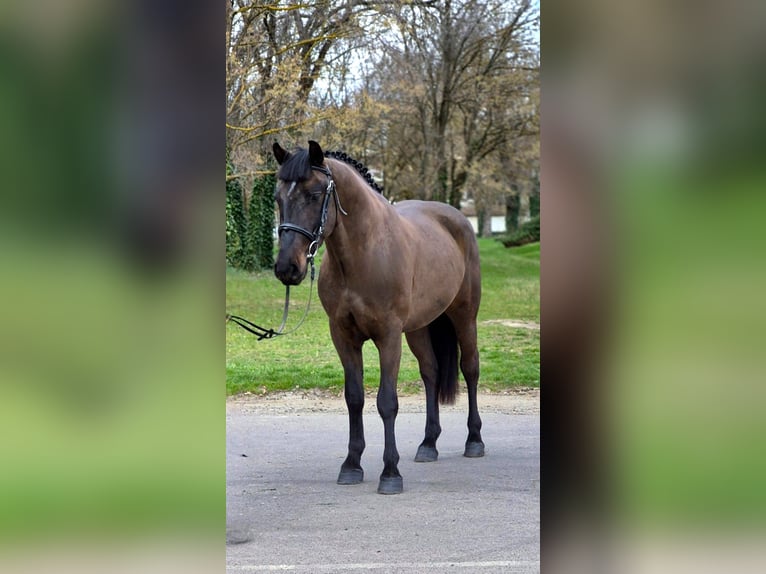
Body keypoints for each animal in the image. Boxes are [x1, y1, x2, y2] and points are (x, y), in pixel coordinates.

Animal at [272, 140, 484, 494]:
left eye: (314, 194)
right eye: (277, 198)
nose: (287, 267)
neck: (363, 254)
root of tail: (458, 219)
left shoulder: (388, 336)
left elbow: (387, 402)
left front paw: (390, 473)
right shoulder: (343, 336)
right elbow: (354, 398)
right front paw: (351, 465)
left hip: (464, 316)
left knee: (470, 369)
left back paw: (474, 440)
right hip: (418, 328)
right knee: (431, 372)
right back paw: (428, 444)